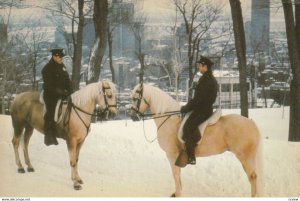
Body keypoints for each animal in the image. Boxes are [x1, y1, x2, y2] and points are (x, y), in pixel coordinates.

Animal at [130, 83, 264, 196]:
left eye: (135, 98)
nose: (132, 116)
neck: (169, 119)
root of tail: (251, 123)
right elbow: (178, 174)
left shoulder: (171, 154)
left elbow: (175, 173)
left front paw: (178, 194)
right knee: (253, 177)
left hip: (244, 157)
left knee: (252, 176)